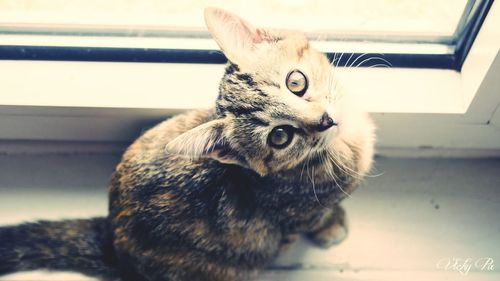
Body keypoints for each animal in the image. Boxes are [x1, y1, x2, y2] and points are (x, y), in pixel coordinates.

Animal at [0, 6, 376, 280]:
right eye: (280, 136)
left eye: (296, 82)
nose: (325, 120)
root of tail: (112, 239)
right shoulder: (297, 212)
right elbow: (314, 218)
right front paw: (332, 226)